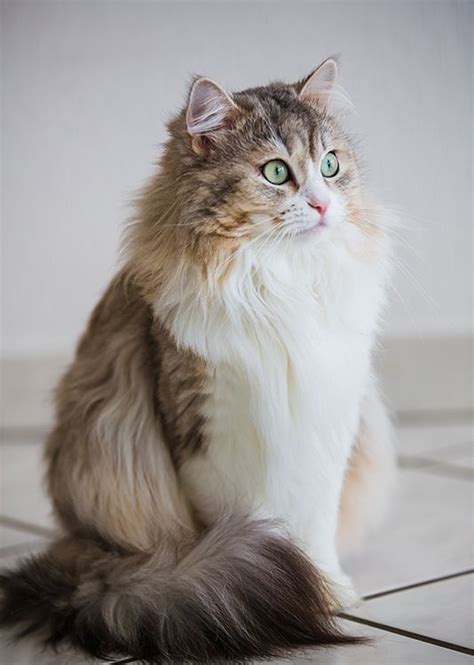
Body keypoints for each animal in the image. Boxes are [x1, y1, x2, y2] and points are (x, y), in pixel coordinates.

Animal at [0, 59, 396, 660]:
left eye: (330, 165)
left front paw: (327, 587)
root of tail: (82, 555)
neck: (280, 283)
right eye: (276, 172)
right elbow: (252, 523)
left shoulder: (329, 424)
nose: (324, 205)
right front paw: (265, 578)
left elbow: (317, 522)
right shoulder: (207, 432)